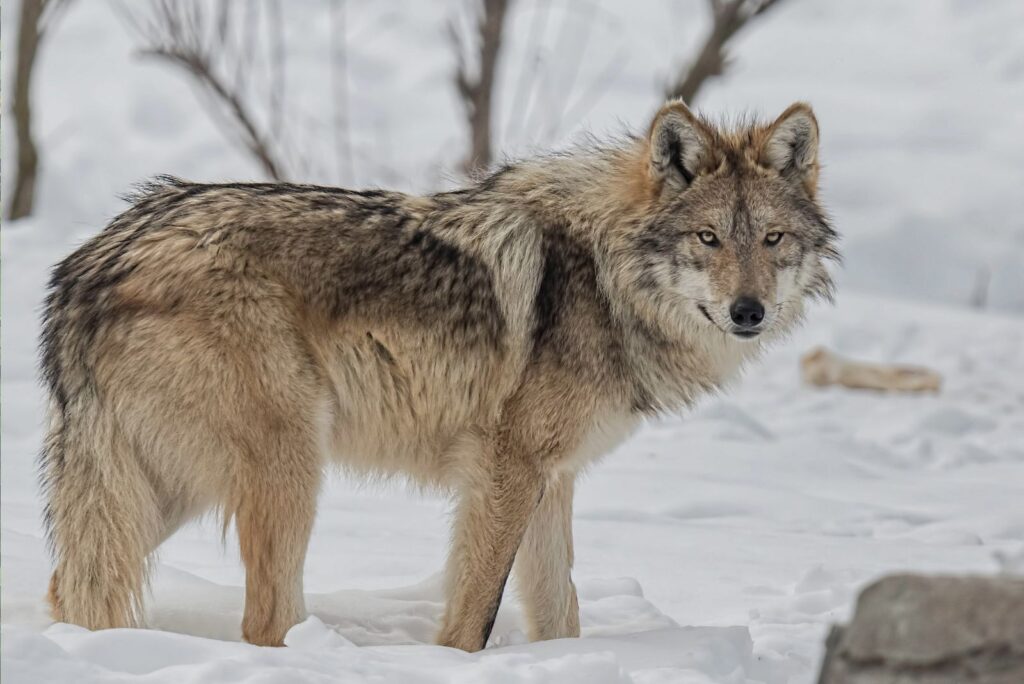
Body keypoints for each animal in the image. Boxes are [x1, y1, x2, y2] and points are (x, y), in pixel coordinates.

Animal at [39, 98, 839, 651]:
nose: (748, 311)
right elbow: (475, 614)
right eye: (708, 238)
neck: (604, 273)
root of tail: (92, 262)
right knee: (262, 621)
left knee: (69, 587)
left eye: (773, 239)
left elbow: (562, 610)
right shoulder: (505, 470)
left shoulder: (553, 480)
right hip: (287, 468)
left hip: (161, 490)